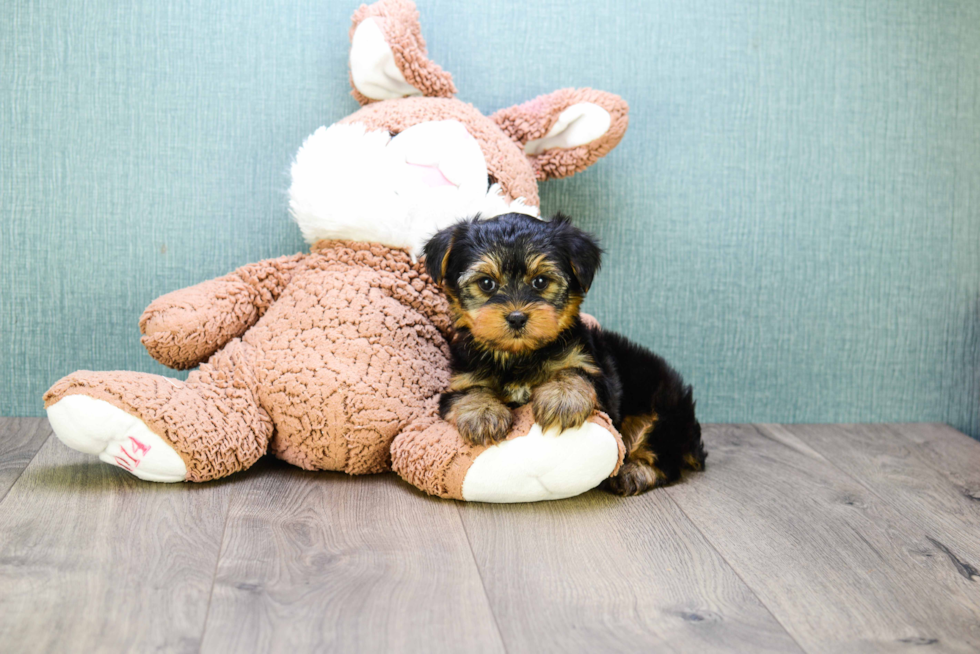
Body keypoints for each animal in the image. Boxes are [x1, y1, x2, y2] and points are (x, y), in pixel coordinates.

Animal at [424, 213, 708, 494]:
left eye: (540, 281)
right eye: (486, 283)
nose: (516, 317)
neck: (520, 355)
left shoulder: (597, 375)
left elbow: (574, 372)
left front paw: (563, 398)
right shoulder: (460, 380)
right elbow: (470, 392)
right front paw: (483, 414)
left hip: (664, 412)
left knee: (661, 453)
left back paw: (632, 473)